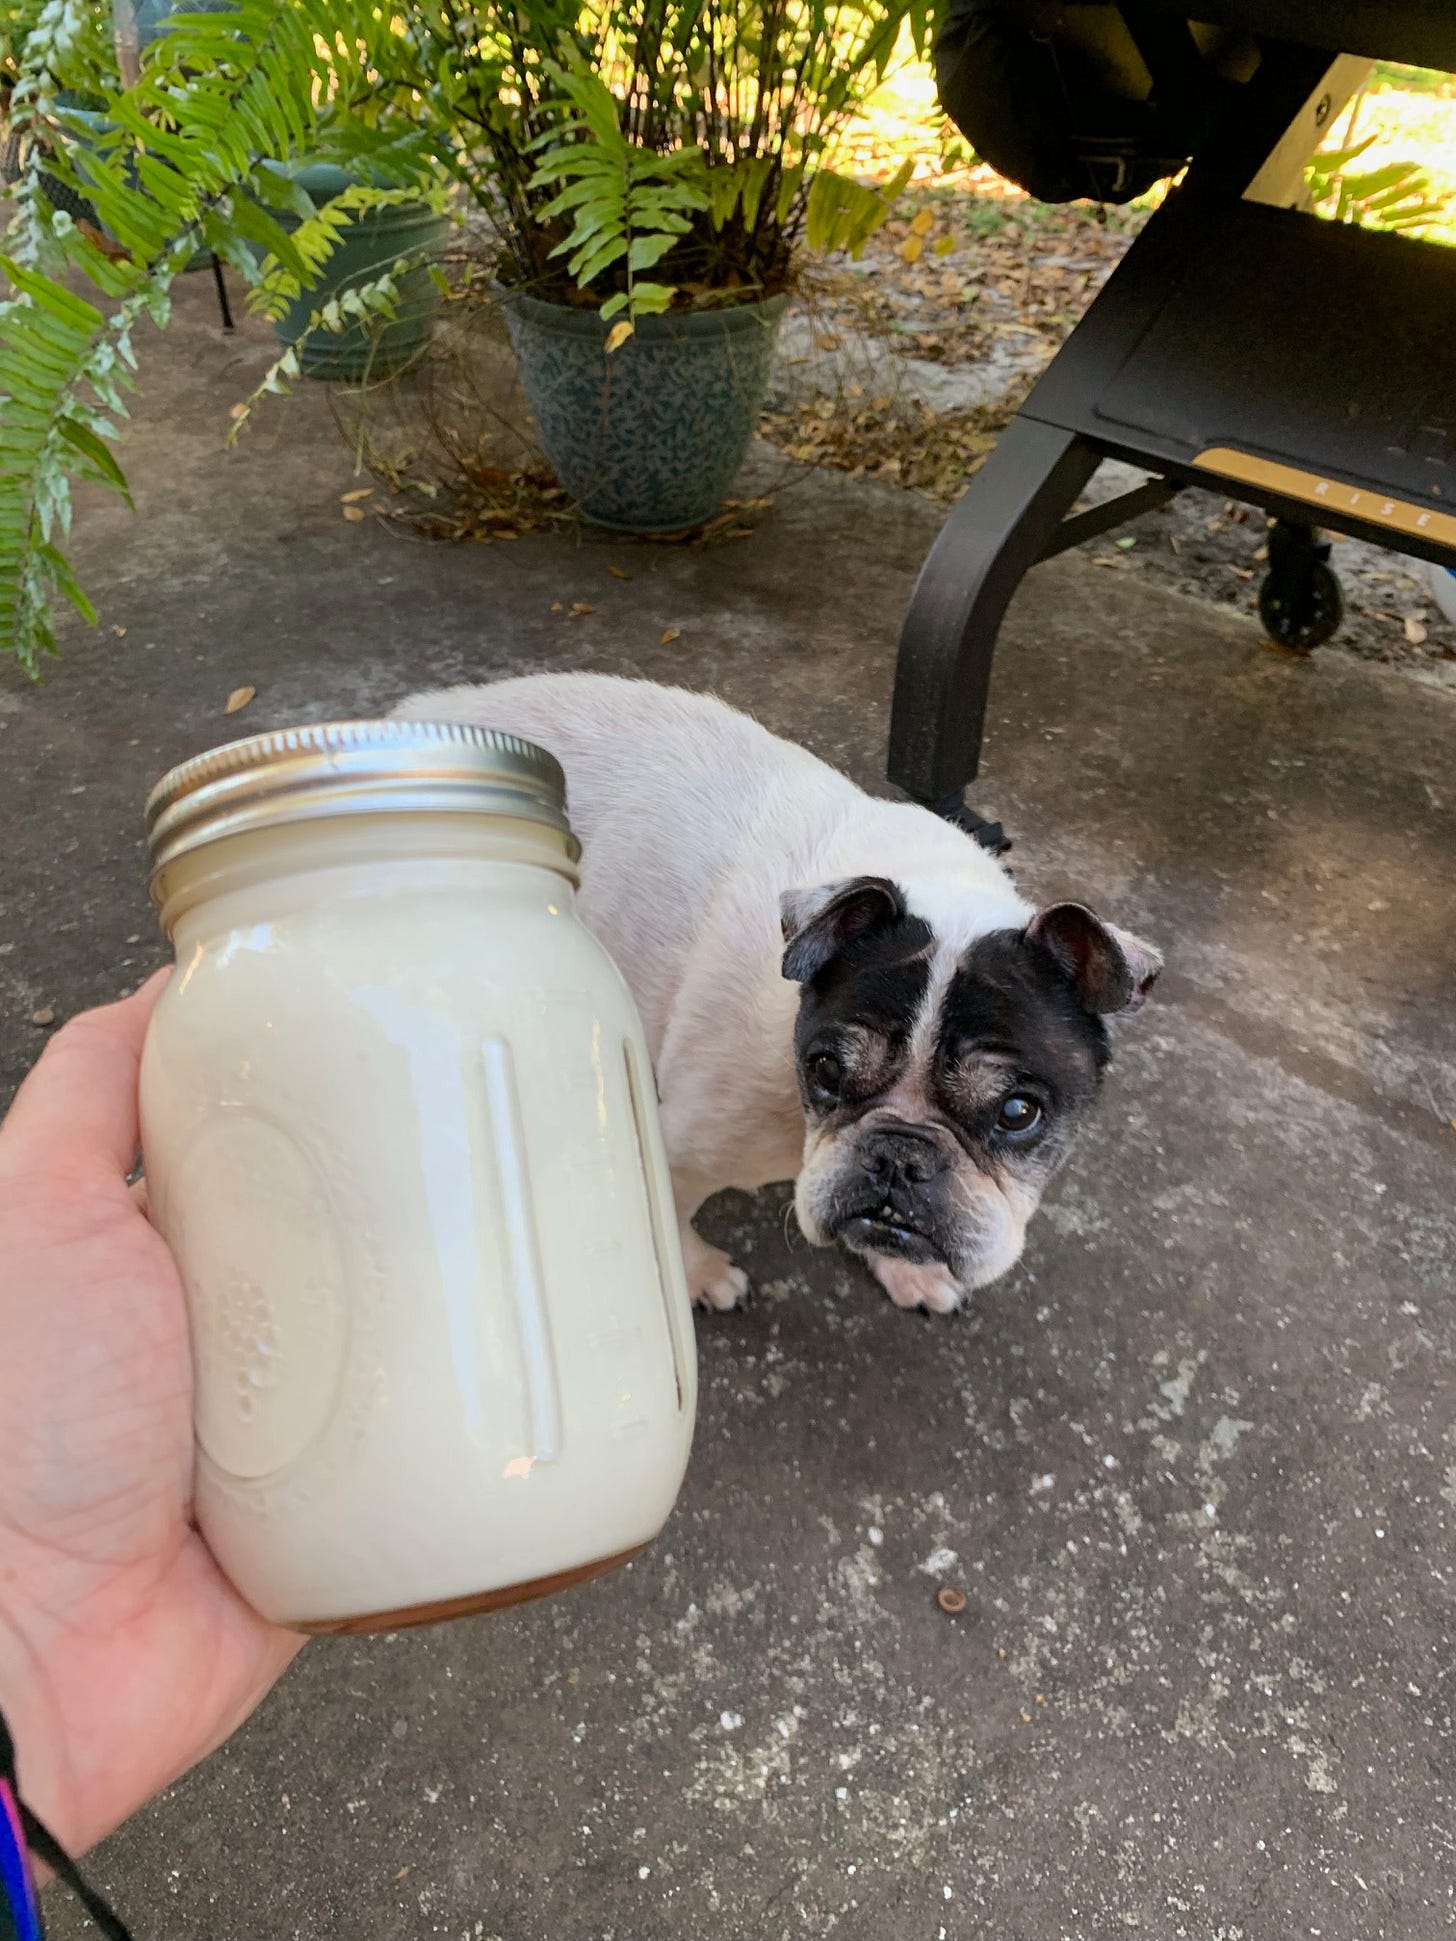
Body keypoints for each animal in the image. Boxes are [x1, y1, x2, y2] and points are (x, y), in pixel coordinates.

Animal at [396, 671, 1164, 1319]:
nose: (900, 1155)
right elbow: (675, 1221)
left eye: (1017, 1112)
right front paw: (699, 1274)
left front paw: (906, 1271)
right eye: (825, 1069)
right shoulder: (680, 1148)